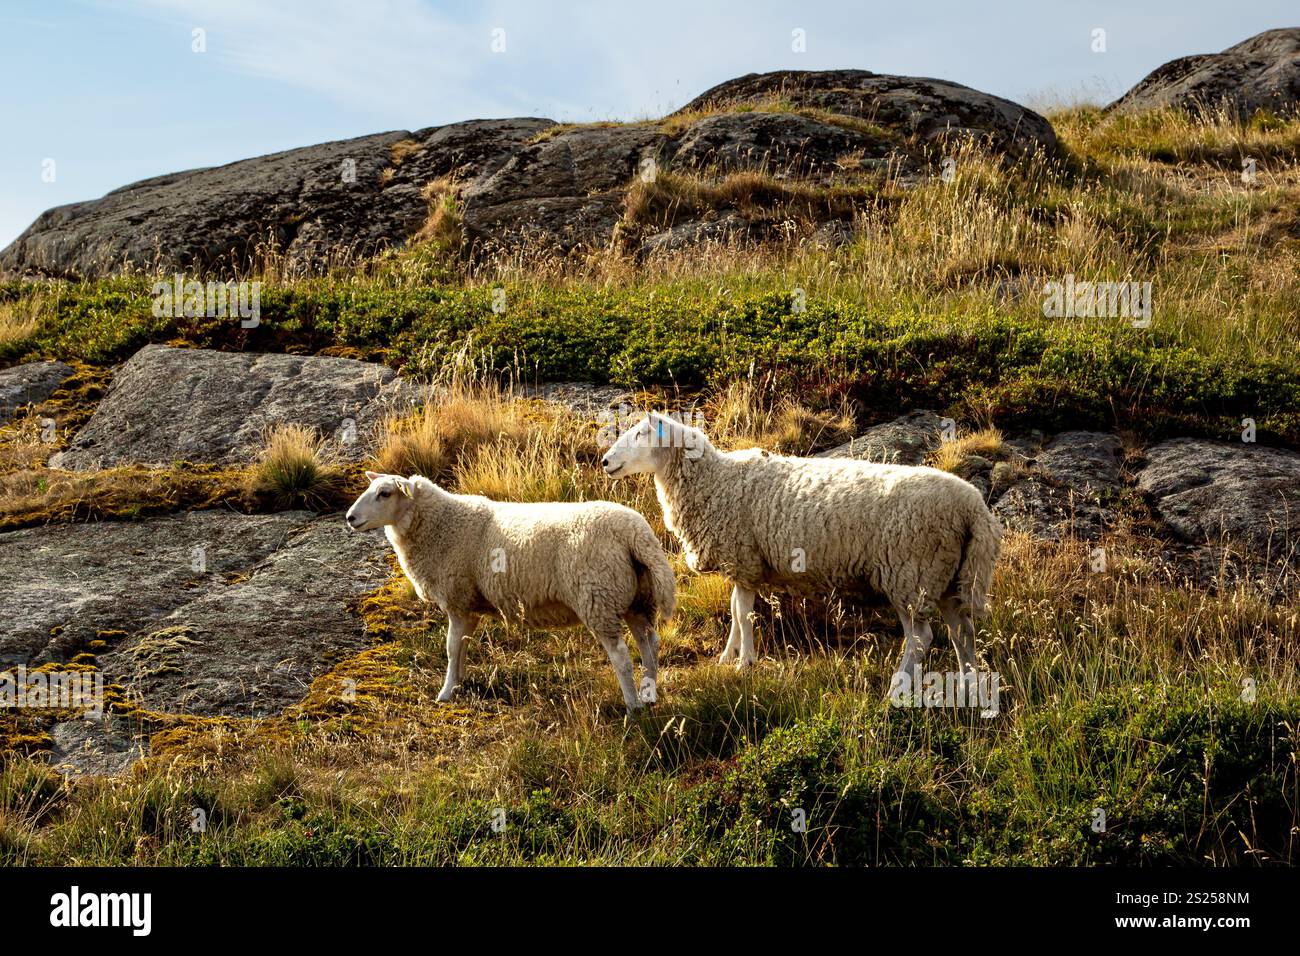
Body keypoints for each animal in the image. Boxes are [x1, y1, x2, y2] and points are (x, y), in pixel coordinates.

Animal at [345, 470, 676, 712]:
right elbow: (462, 647)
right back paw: (649, 694)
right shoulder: (468, 605)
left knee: (621, 655)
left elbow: (451, 648)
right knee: (649, 644)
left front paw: (445, 693)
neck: (441, 524)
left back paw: (633, 707)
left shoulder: (457, 600)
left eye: (385, 493)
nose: (350, 518)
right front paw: (459, 684)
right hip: (637, 598)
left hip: (598, 598)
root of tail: (636, 533)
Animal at [600, 411, 1003, 686]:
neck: (715, 481)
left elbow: (743, 614)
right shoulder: (744, 564)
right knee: (962, 632)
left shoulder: (744, 558)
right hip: (946, 578)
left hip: (910, 575)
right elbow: (733, 611)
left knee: (921, 639)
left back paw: (897, 687)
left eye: (640, 433)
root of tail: (972, 507)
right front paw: (728, 656)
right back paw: (968, 682)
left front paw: (745, 663)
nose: (604, 462)